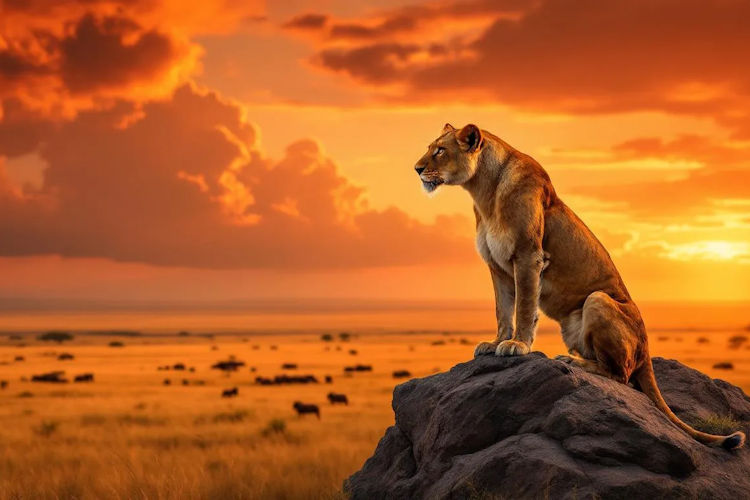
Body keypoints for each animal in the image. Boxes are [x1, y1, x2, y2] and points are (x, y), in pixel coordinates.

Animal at [414, 123, 746, 450]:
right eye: (430, 147)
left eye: (440, 150)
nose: (416, 169)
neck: (484, 191)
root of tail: (647, 349)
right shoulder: (497, 266)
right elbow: (503, 310)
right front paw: (496, 342)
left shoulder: (528, 255)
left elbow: (524, 306)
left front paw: (517, 345)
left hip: (598, 299)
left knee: (621, 376)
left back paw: (571, 361)